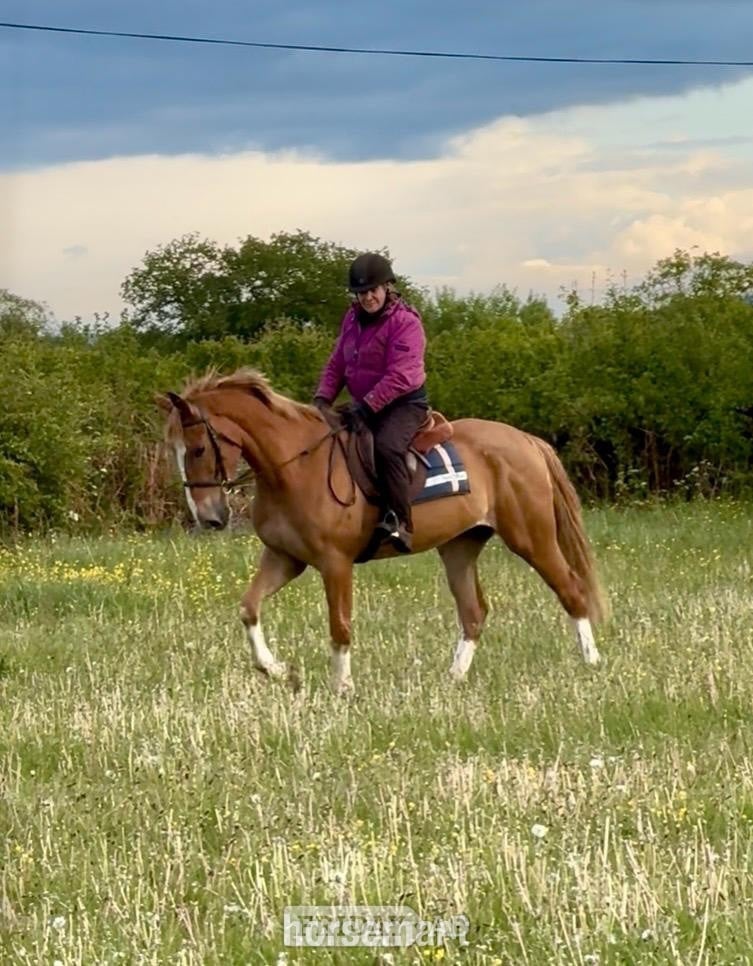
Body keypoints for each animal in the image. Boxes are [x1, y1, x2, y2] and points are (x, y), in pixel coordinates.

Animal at [155, 368, 608, 695]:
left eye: (197, 448)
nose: (209, 517)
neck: (295, 466)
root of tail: (527, 441)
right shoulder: (285, 559)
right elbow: (249, 609)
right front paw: (279, 670)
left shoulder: (335, 564)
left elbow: (340, 626)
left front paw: (342, 687)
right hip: (460, 546)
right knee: (474, 613)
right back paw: (453, 679)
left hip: (531, 539)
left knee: (571, 590)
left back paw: (591, 664)